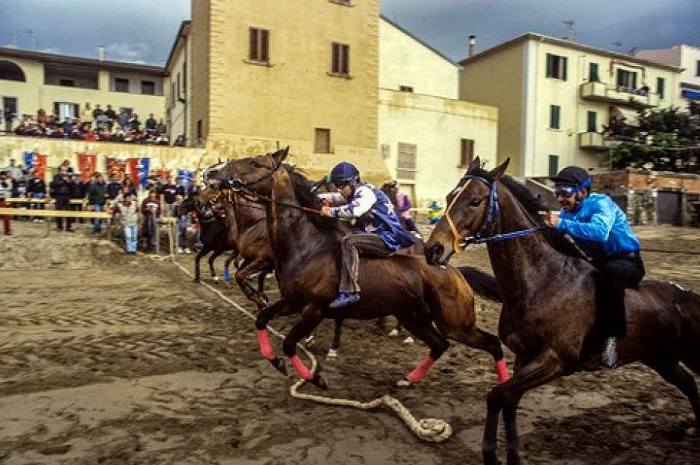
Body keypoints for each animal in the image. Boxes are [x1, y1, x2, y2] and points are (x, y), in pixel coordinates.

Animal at [211, 148, 506, 388]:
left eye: (255, 162)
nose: (215, 173)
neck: (306, 244)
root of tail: (453, 270)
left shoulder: (314, 308)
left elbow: (289, 343)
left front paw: (315, 377)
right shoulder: (292, 301)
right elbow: (262, 319)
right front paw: (275, 359)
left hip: (456, 324)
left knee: (492, 344)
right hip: (414, 317)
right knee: (440, 344)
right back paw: (408, 379)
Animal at [422, 157, 700, 464]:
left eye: (474, 200)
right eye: (449, 197)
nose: (433, 249)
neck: (543, 280)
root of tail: (687, 295)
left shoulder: (556, 359)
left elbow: (496, 395)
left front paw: (490, 452)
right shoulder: (525, 356)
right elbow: (509, 400)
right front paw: (513, 454)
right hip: (663, 359)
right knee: (690, 384)